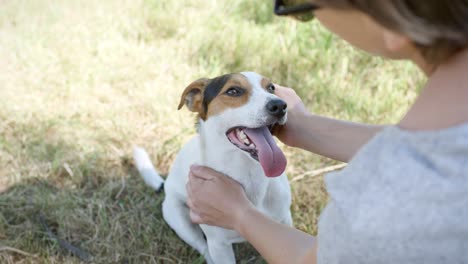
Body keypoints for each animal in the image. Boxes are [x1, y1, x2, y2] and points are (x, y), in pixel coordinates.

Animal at [133, 72, 292, 264]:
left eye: (271, 88)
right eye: (233, 91)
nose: (280, 105)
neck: (248, 173)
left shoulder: (285, 224)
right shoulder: (219, 244)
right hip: (179, 218)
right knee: (202, 247)